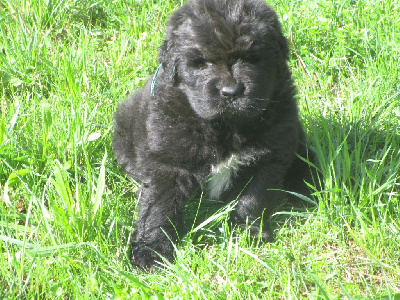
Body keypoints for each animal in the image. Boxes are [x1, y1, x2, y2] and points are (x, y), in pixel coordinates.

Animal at [112, 0, 318, 272]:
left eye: (252, 59)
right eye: (202, 62)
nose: (231, 92)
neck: (225, 125)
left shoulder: (269, 157)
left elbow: (254, 197)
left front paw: (247, 233)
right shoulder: (167, 164)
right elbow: (158, 209)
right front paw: (151, 252)